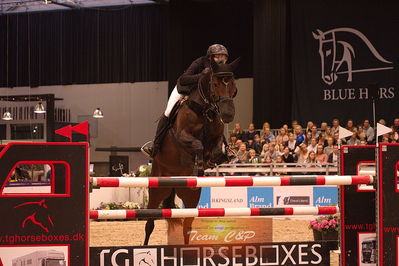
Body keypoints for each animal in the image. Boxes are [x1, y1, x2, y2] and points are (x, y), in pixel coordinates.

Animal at [145, 58, 241, 245]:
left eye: (233, 85)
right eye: (215, 83)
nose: (227, 115)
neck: (205, 110)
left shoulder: (216, 138)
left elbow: (215, 151)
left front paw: (206, 164)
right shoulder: (182, 135)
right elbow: (198, 145)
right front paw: (198, 166)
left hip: (191, 198)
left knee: (187, 226)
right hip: (157, 190)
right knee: (149, 224)